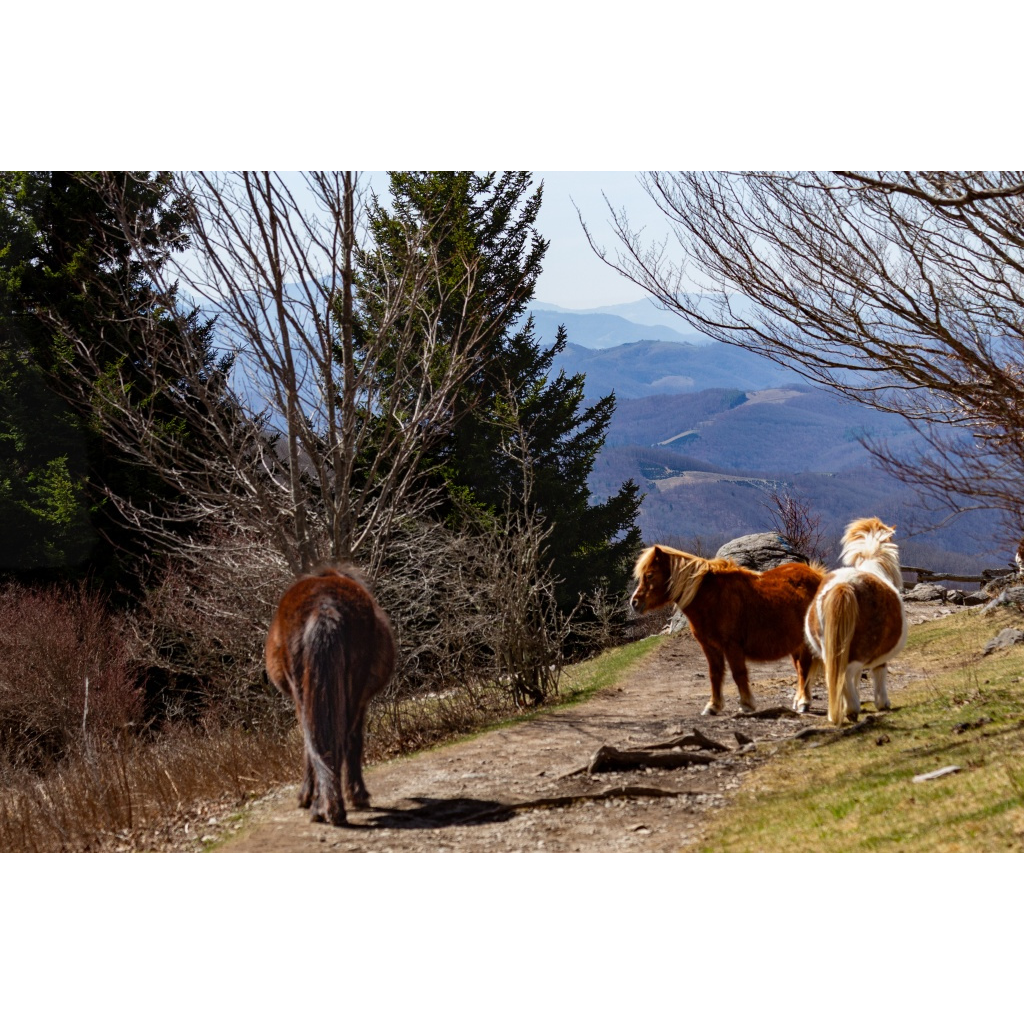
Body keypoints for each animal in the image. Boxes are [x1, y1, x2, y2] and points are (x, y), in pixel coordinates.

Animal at [630, 545, 827, 716]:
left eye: (649, 575)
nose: (634, 603)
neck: (712, 597)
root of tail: (817, 576)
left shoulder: (732, 646)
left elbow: (738, 673)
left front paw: (746, 704)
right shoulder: (709, 647)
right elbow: (715, 674)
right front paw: (713, 706)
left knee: (804, 669)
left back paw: (803, 702)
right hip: (795, 645)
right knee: (800, 670)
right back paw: (798, 700)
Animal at [804, 517, 907, 726]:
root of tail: (844, 585)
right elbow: (878, 672)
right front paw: (882, 703)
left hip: (828, 648)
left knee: (834, 674)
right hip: (860, 649)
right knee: (847, 673)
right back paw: (852, 709)